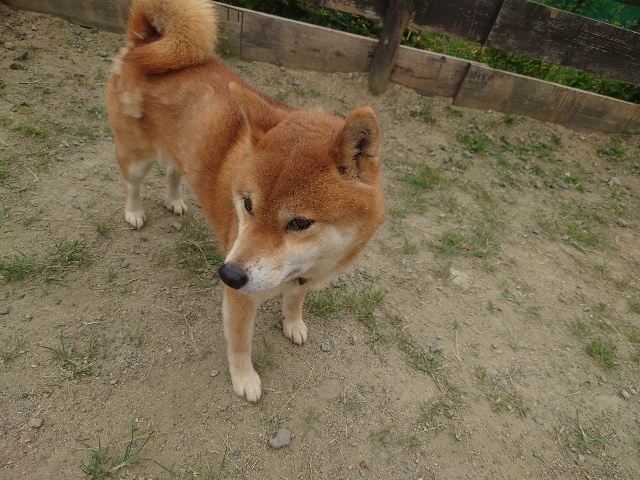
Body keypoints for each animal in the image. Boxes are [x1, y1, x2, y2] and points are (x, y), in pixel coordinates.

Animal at [106, 0, 386, 402]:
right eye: (248, 205)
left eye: (300, 223)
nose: (229, 274)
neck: (302, 272)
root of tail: (143, 42)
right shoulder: (239, 300)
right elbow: (240, 342)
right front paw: (244, 379)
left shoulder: (301, 279)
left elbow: (294, 302)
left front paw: (293, 323)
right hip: (137, 157)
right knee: (133, 184)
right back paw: (134, 212)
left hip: (181, 153)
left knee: (174, 172)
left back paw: (175, 201)